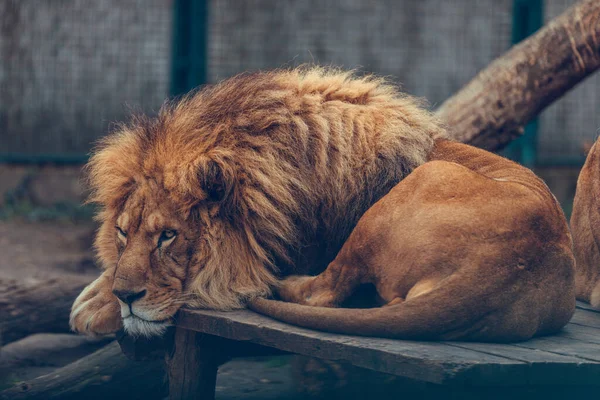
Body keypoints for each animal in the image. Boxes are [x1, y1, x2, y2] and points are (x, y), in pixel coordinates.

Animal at [68, 66, 576, 340]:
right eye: (122, 231)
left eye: (168, 236)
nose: (127, 297)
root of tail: (501, 268)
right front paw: (98, 296)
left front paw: (101, 308)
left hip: (411, 190)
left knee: (322, 291)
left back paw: (281, 286)